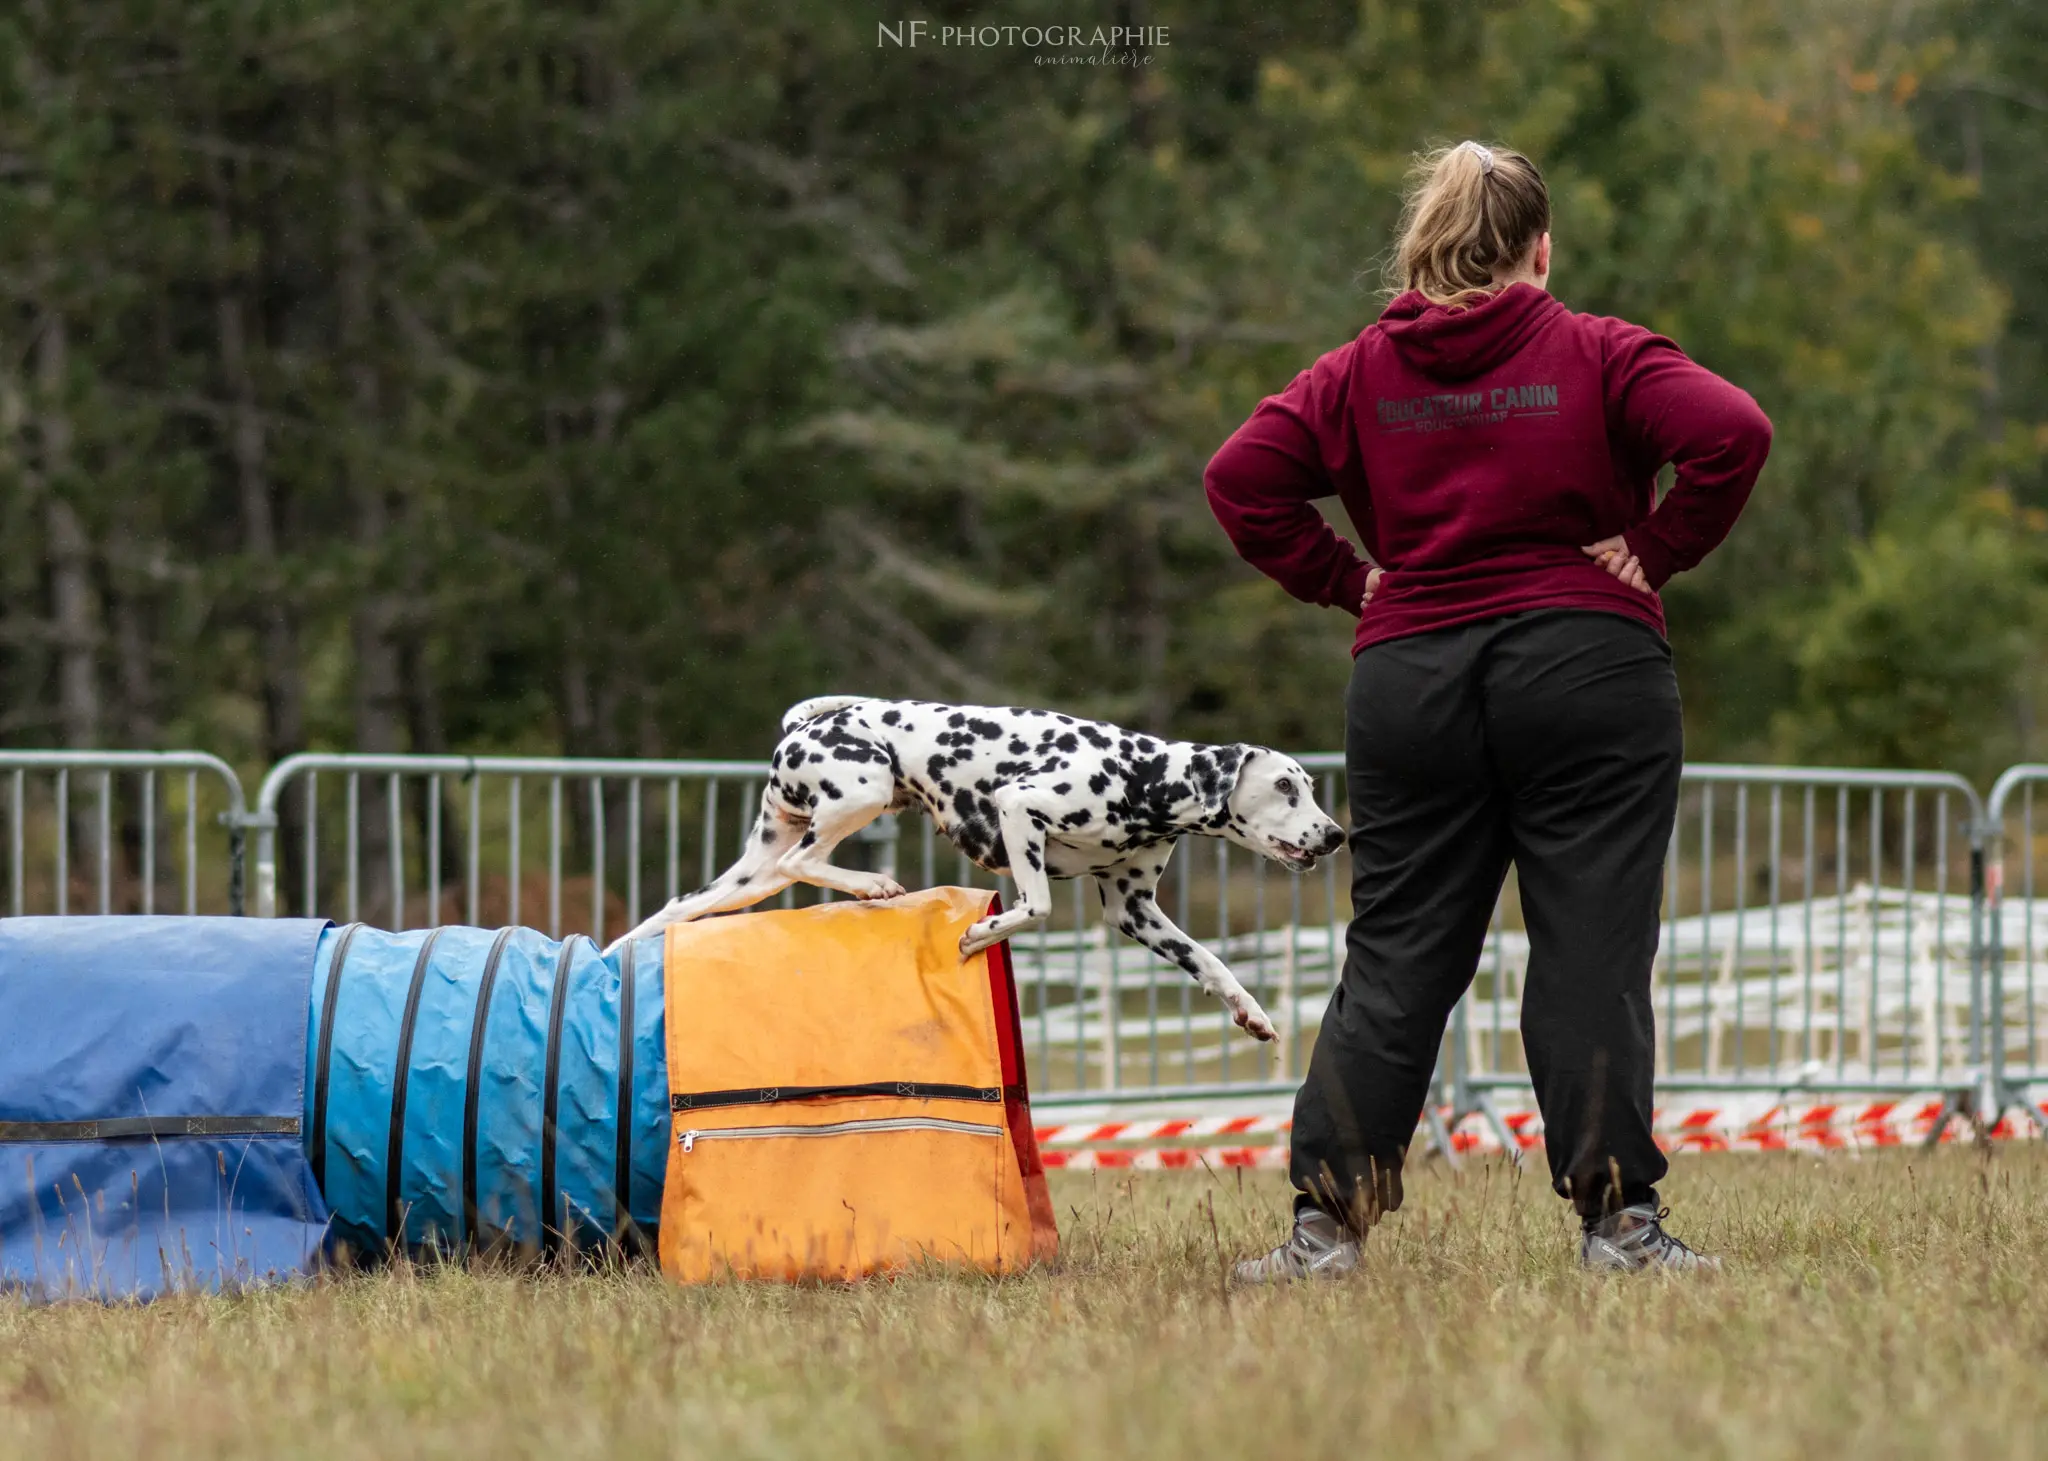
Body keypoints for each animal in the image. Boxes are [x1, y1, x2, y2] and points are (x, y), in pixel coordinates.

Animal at [606, 696, 1343, 1036]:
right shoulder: (1021, 812)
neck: (1143, 777)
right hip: (862, 791)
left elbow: (1212, 961)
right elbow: (1037, 905)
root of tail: (806, 726)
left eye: (1308, 784)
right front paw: (980, 935)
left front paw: (1251, 1011)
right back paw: (873, 883)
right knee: (802, 861)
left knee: (682, 906)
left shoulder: (1134, 910)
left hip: (743, 878)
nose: (1336, 835)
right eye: (1287, 786)